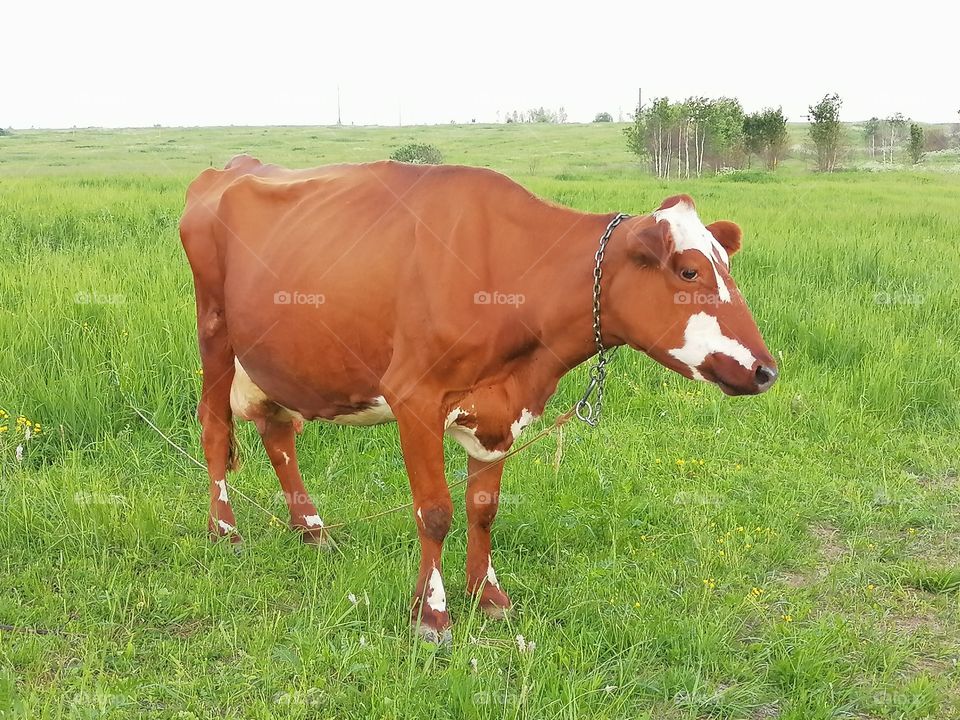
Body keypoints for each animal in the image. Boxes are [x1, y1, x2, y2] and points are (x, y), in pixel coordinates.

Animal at [179, 155, 777, 644]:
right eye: (689, 270)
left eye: (727, 266)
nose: (765, 370)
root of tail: (231, 168)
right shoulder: (414, 395)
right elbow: (435, 512)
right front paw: (432, 615)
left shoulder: (501, 411)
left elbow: (484, 507)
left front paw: (487, 596)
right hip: (215, 330)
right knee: (215, 425)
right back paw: (225, 531)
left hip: (278, 354)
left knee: (277, 430)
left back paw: (312, 530)